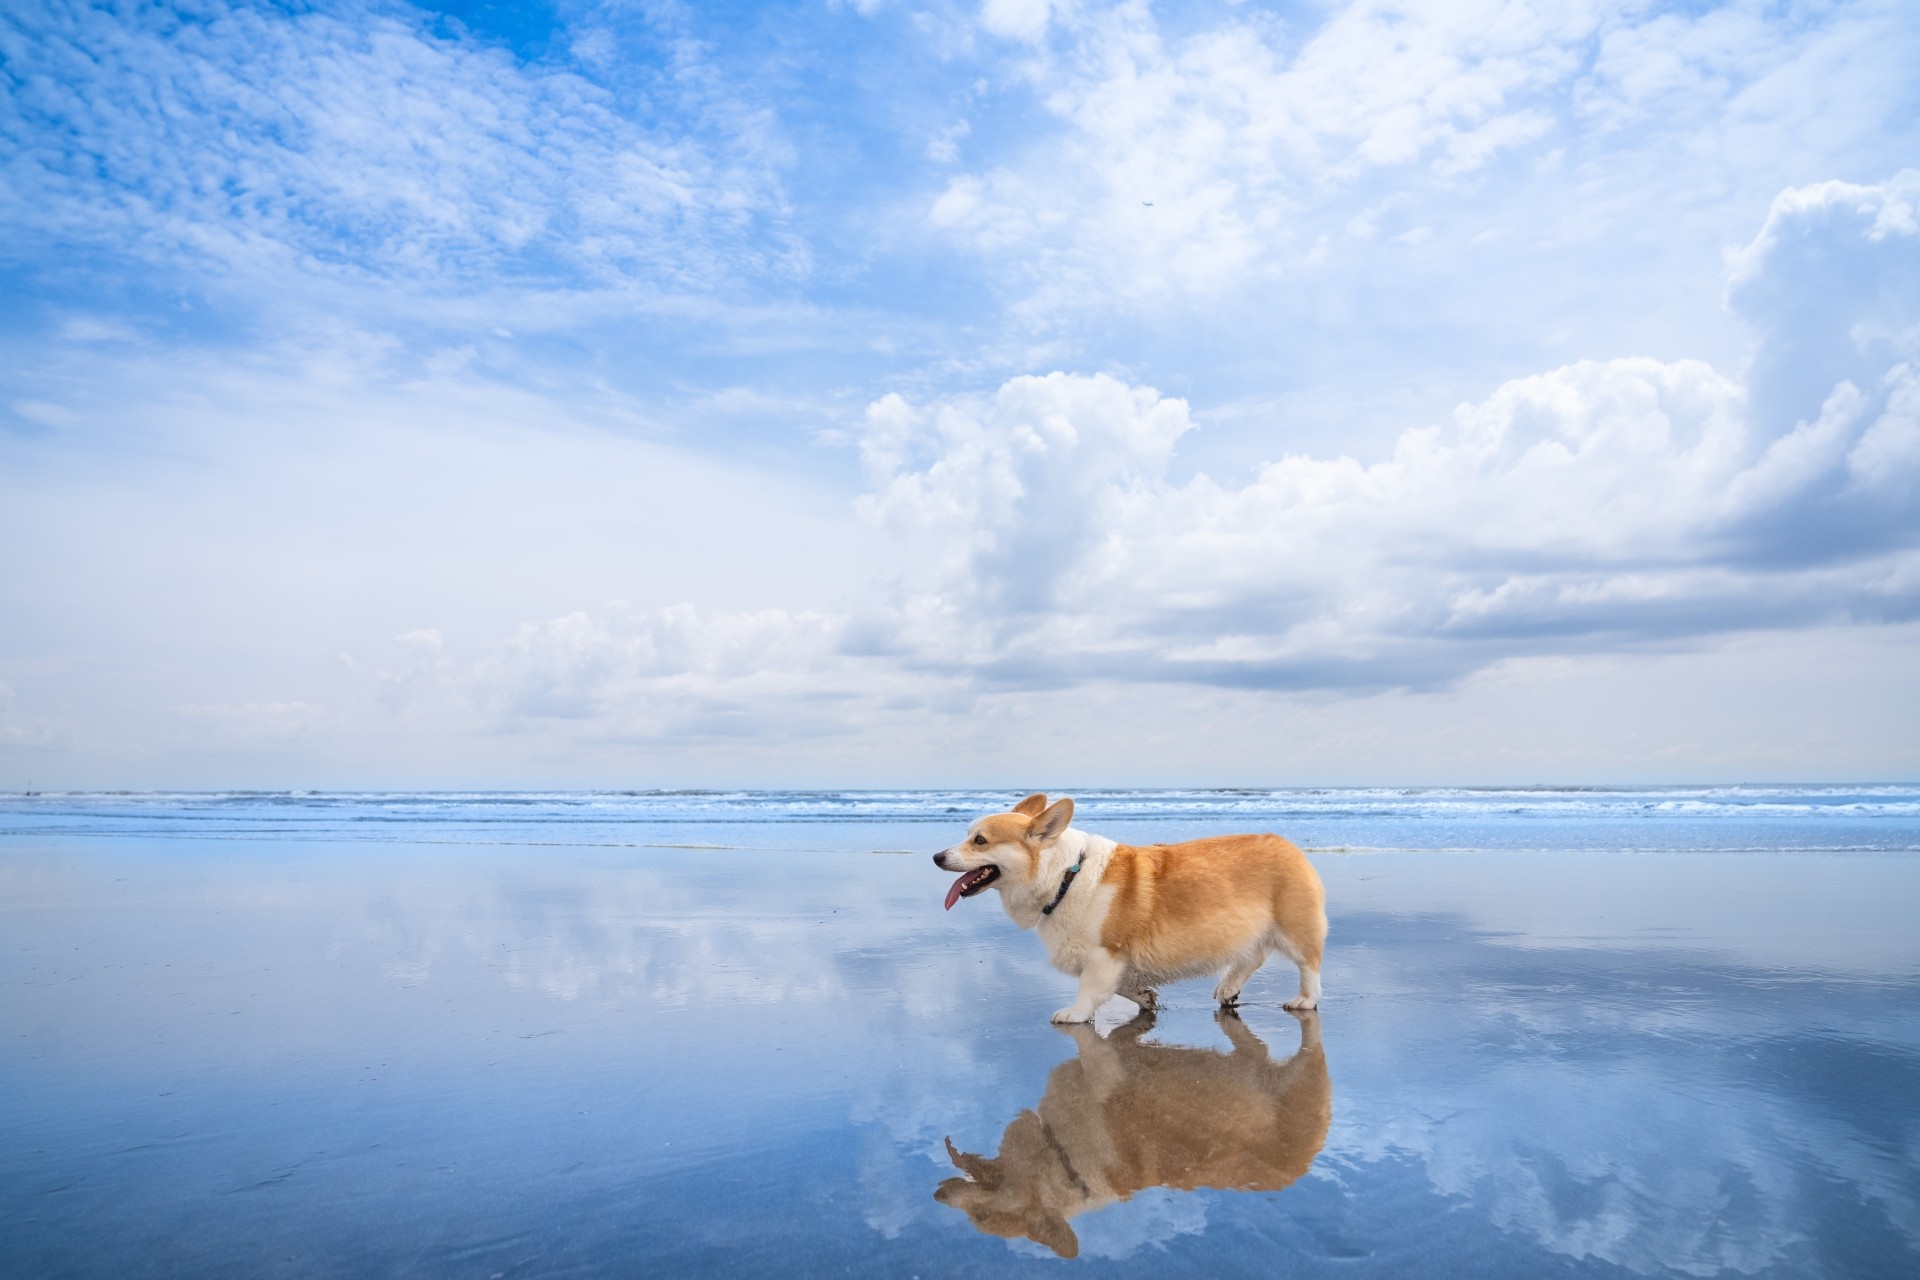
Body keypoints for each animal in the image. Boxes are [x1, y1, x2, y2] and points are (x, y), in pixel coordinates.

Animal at [933, 790, 1328, 1020]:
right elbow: (1124, 985)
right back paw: (1228, 988)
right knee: (1253, 956)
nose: (937, 857)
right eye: (969, 836)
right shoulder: (1116, 960)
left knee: (1308, 965)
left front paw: (1075, 1013)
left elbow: (1090, 989)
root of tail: (1289, 845)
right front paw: (1145, 997)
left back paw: (1305, 1000)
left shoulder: (1104, 953)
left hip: (1295, 928)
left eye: (980, 840)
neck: (1065, 878)